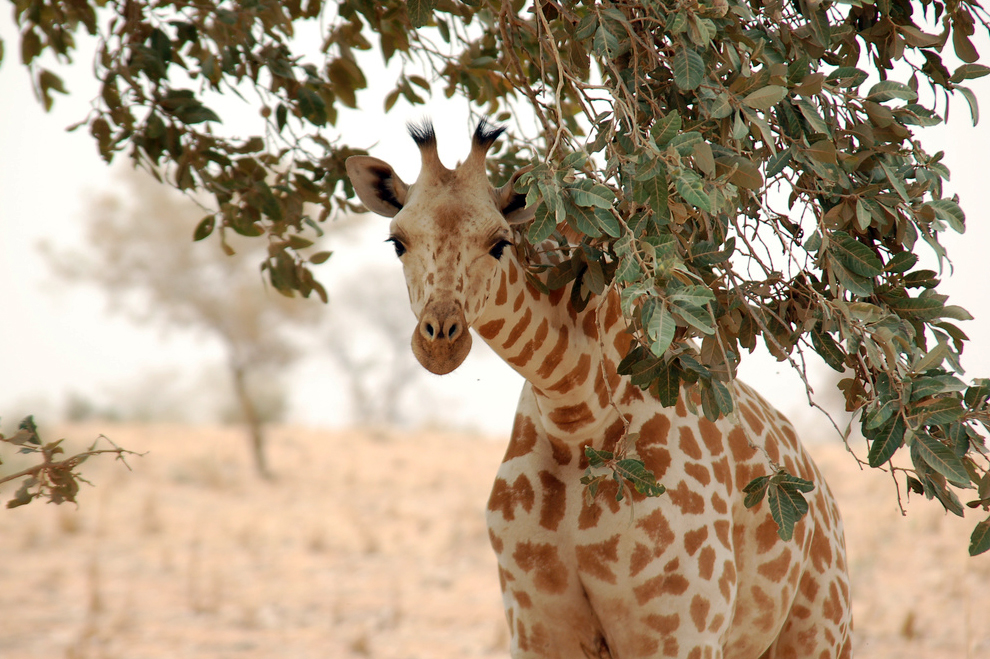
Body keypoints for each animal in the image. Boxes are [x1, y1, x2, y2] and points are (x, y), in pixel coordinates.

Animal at [346, 121, 852, 656]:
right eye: (398, 242)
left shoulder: (685, 630)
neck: (576, 415)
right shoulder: (535, 625)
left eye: (499, 242)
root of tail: (823, 495)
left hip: (820, 632)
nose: (440, 341)